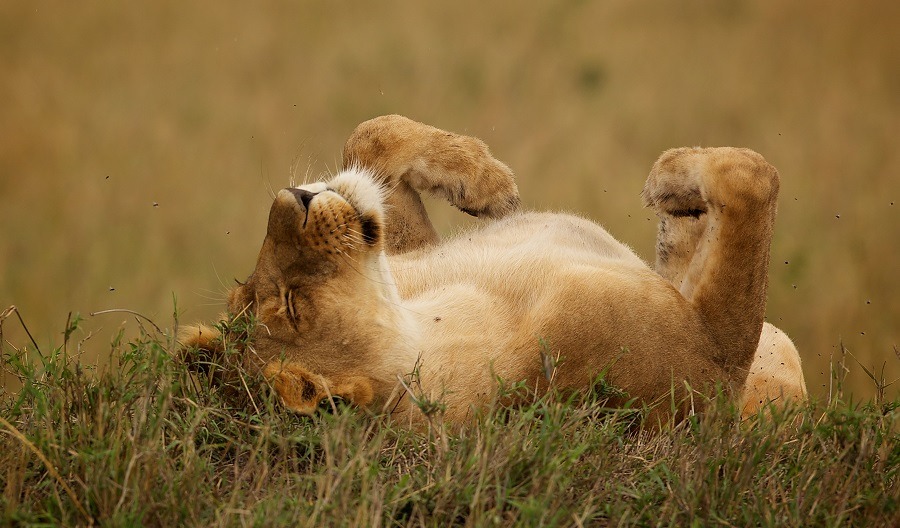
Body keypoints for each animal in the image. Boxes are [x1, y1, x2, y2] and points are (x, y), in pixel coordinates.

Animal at [180, 115, 807, 425]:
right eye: (292, 307)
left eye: (249, 296)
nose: (291, 198)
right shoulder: (710, 371)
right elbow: (753, 178)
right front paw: (671, 174)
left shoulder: (405, 252)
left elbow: (371, 136)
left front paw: (483, 182)